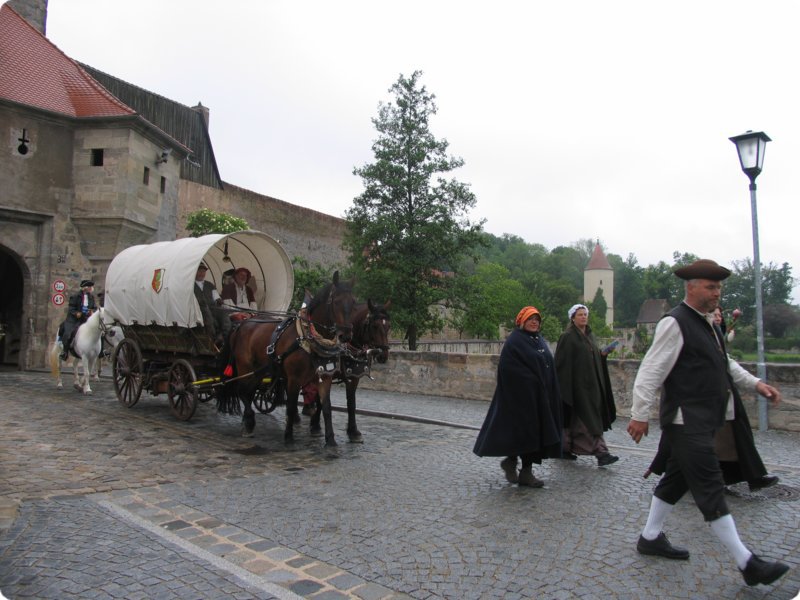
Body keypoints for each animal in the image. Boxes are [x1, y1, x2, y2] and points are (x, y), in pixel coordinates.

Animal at [219, 271, 356, 446]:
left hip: (259, 371)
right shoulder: (294, 379)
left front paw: (331, 440)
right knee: (242, 391)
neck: (308, 338)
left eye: (353, 302)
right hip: (245, 367)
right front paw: (289, 436)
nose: (346, 335)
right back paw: (249, 422)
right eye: (336, 302)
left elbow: (326, 407)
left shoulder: (324, 377)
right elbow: (291, 405)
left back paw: (247, 422)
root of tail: (242, 324)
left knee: (249, 392)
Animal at [309, 299, 391, 443]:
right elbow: (322, 400)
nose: (383, 355)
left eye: (389, 326)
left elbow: (351, 402)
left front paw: (353, 431)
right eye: (374, 326)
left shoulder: (353, 377)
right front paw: (315, 425)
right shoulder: (324, 374)